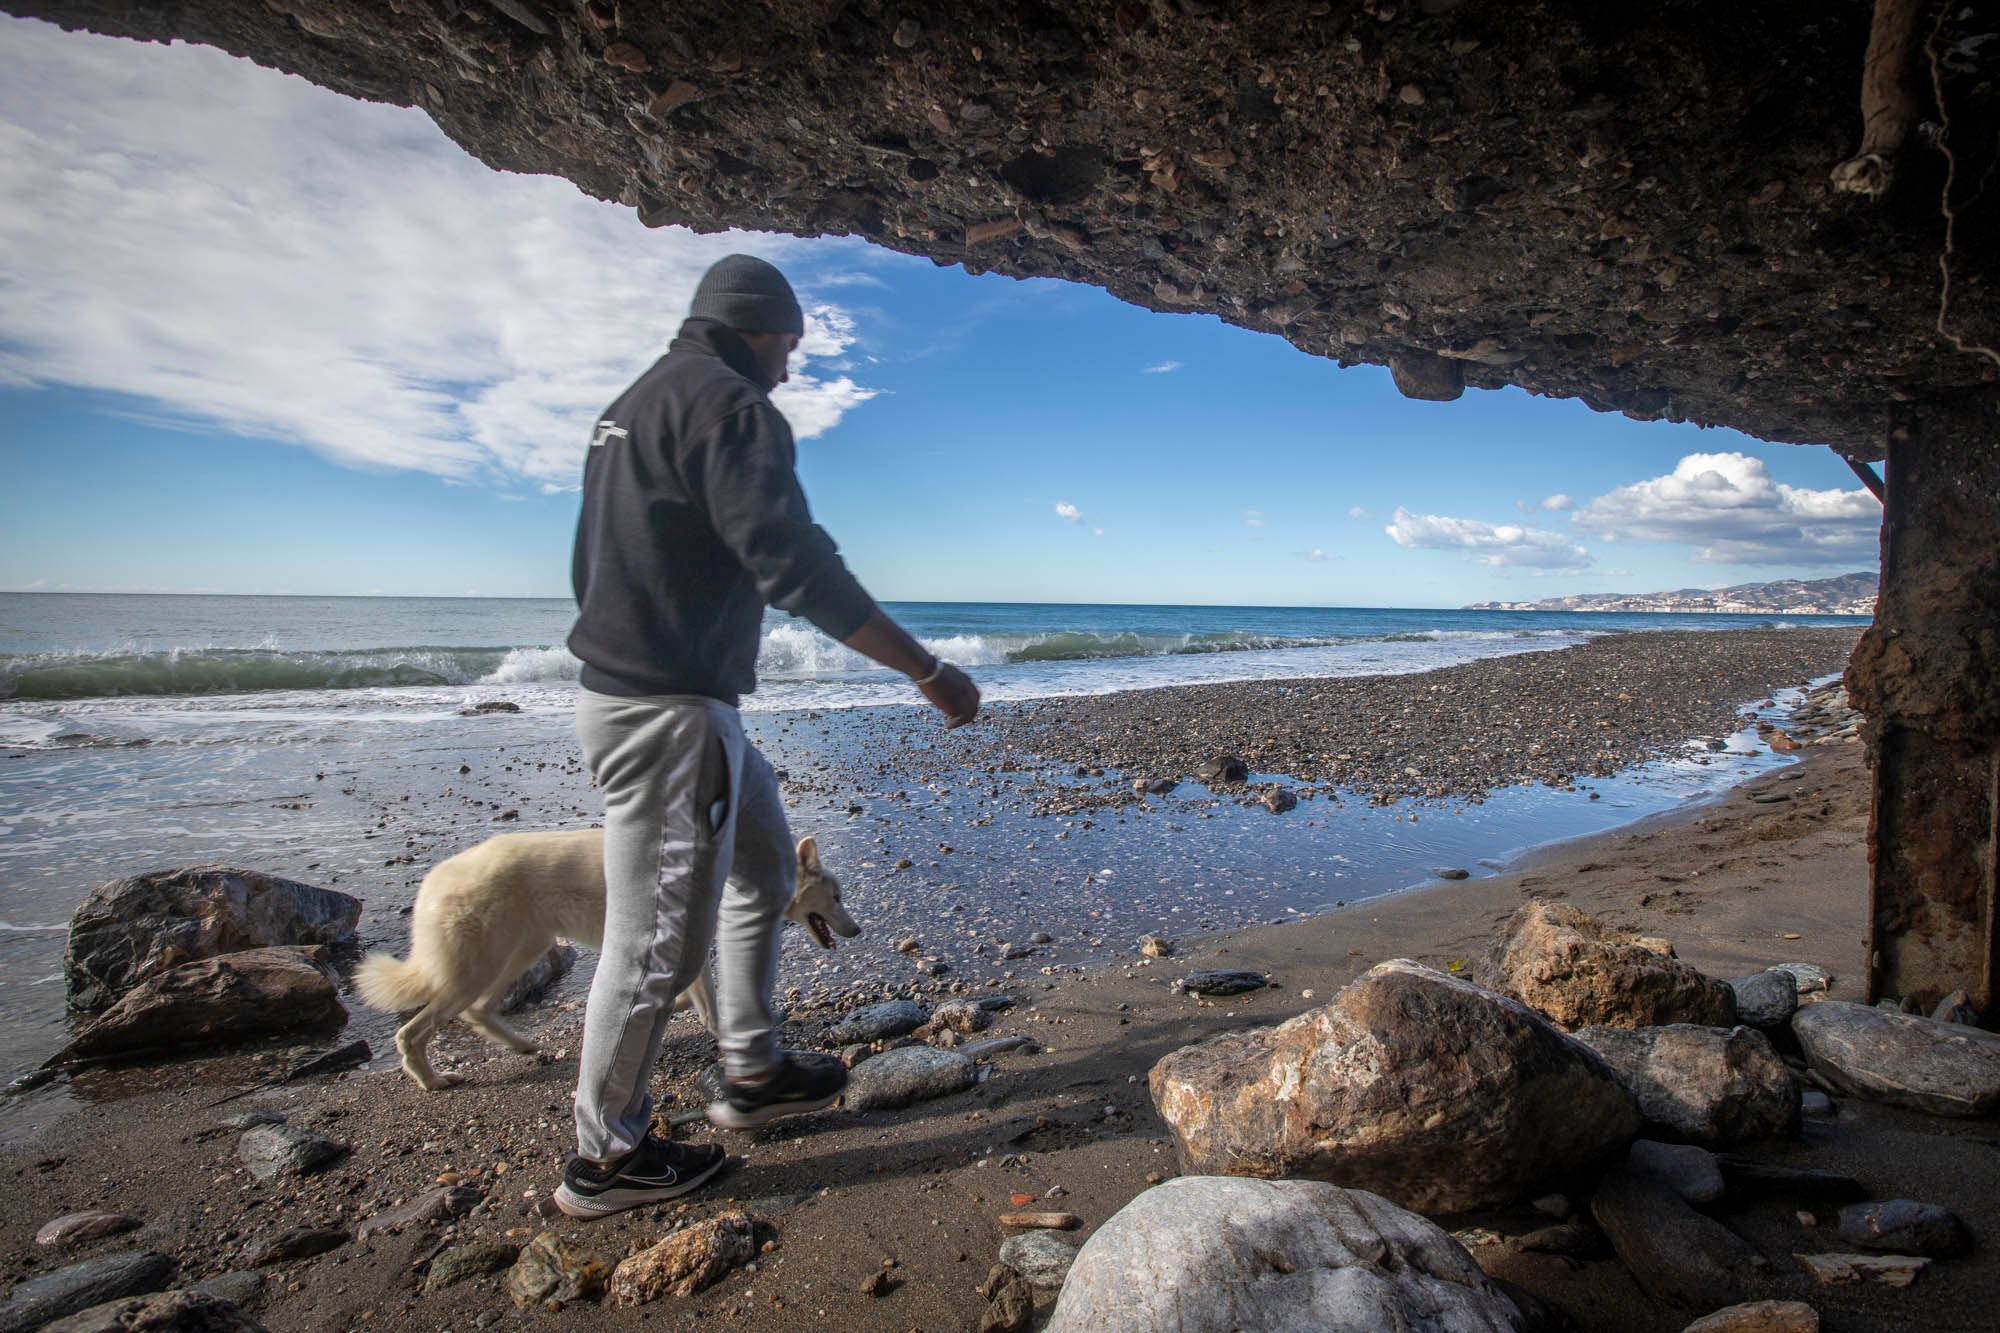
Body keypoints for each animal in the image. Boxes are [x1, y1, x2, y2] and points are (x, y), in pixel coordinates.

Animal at [356, 832, 856, 1088]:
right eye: (836, 897)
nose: (857, 930)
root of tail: (433, 881)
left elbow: (688, 999)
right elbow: (709, 1009)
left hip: (521, 951)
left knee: (478, 1011)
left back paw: (522, 1046)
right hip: (479, 966)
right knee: (413, 1031)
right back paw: (431, 1080)